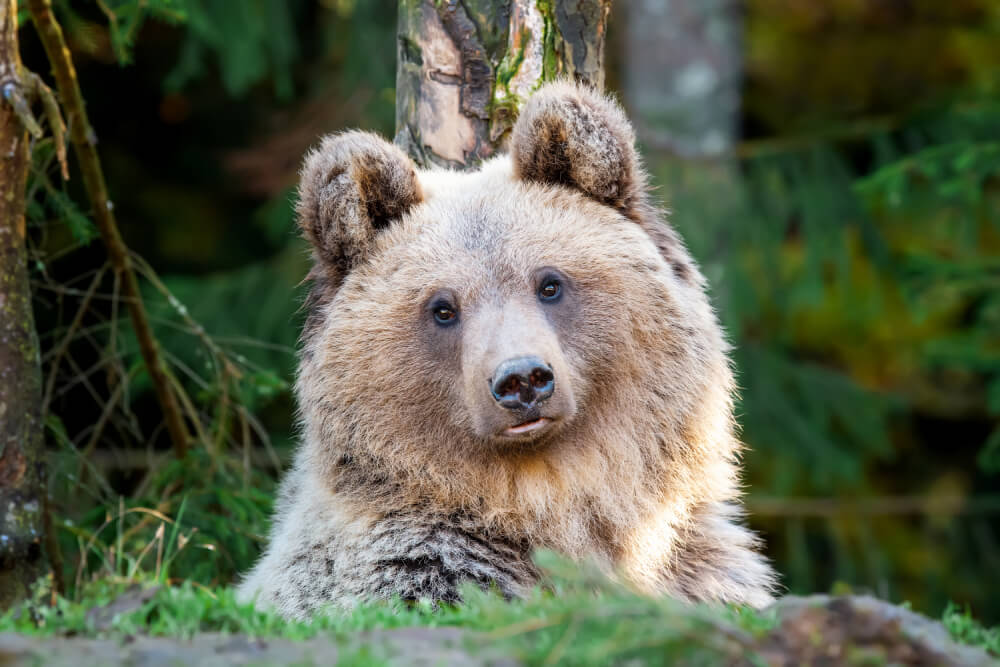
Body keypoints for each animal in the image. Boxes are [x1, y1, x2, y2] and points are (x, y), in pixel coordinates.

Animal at [238, 81, 776, 620]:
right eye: (443, 308)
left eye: (550, 283)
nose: (522, 380)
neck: (543, 500)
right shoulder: (421, 568)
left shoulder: (695, 566)